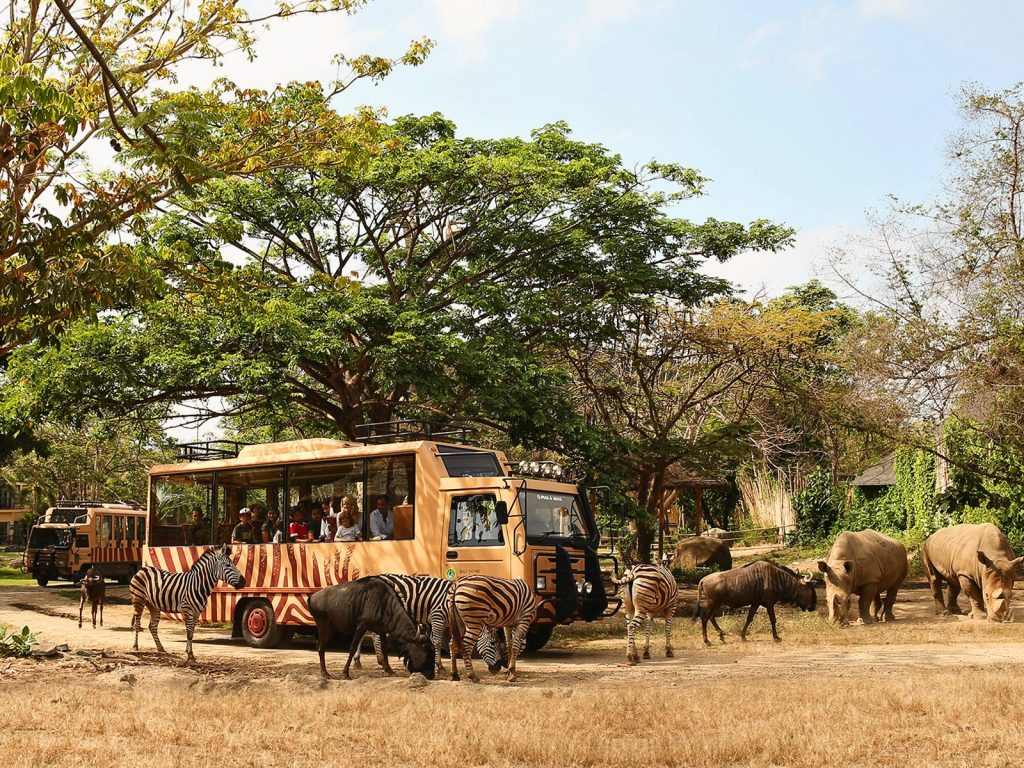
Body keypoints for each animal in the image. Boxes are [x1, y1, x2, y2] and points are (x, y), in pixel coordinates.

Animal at [356, 573, 507, 675]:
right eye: (493, 643)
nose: (498, 668)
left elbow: (449, 643)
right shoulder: (437, 617)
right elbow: (438, 642)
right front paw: (439, 666)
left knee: (369, 634)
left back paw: (368, 662)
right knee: (371, 634)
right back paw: (380, 662)